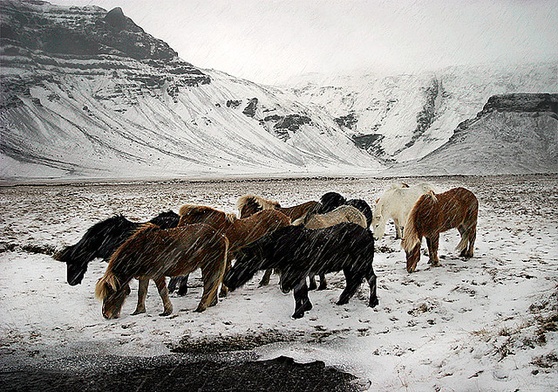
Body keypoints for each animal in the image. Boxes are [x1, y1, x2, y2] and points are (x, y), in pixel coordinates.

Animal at [95, 224, 228, 318]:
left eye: (112, 293)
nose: (106, 315)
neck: (140, 251)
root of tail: (221, 236)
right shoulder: (144, 277)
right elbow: (141, 293)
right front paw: (138, 311)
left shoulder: (157, 275)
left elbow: (162, 292)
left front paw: (167, 311)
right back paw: (211, 303)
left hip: (208, 266)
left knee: (208, 286)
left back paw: (201, 307)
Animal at [224, 224, 380, 318]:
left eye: (244, 260)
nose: (227, 280)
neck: (279, 249)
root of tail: (369, 233)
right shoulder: (297, 275)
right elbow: (301, 292)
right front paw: (306, 308)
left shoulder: (296, 273)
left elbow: (298, 293)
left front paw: (298, 312)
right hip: (350, 267)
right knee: (352, 283)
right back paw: (342, 300)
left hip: (362, 264)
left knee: (370, 279)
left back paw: (372, 302)